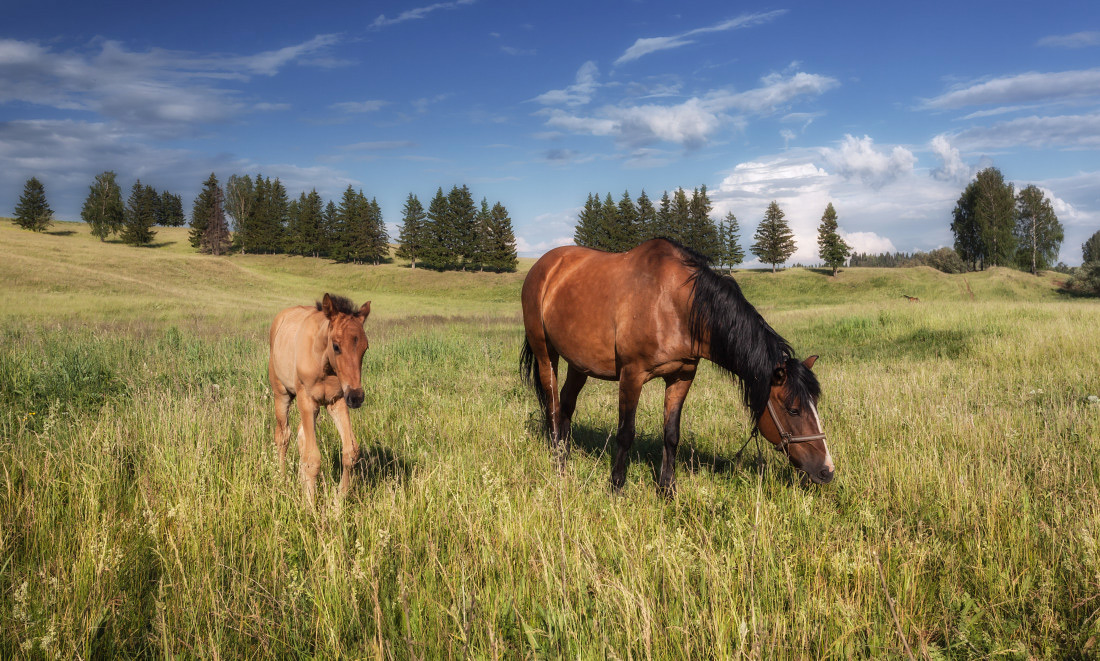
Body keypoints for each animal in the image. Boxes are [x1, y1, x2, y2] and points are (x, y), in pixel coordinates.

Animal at [268, 290, 371, 503]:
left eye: (365, 348)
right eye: (336, 346)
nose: (357, 397)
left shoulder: (337, 400)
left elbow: (350, 452)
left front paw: (337, 504)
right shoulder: (307, 400)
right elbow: (312, 458)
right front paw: (310, 506)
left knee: (300, 435)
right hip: (281, 394)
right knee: (283, 435)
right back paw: (282, 479)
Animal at [519, 237, 827, 490]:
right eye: (793, 410)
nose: (827, 470)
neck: (674, 305)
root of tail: (544, 266)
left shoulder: (681, 377)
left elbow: (671, 435)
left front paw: (667, 488)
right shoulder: (631, 376)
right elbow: (625, 433)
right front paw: (616, 486)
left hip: (579, 364)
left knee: (566, 405)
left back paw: (564, 456)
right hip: (546, 355)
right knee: (553, 407)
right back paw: (558, 464)